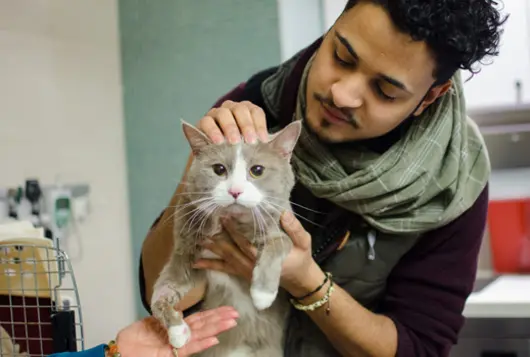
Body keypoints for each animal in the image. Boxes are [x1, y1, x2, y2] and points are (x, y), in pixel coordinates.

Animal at [151, 118, 304, 354]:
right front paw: (178, 332)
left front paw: (262, 294)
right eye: (219, 169)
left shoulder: (282, 228)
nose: (235, 191)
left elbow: (277, 245)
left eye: (257, 170)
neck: (227, 223)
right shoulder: (185, 256)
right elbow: (158, 297)